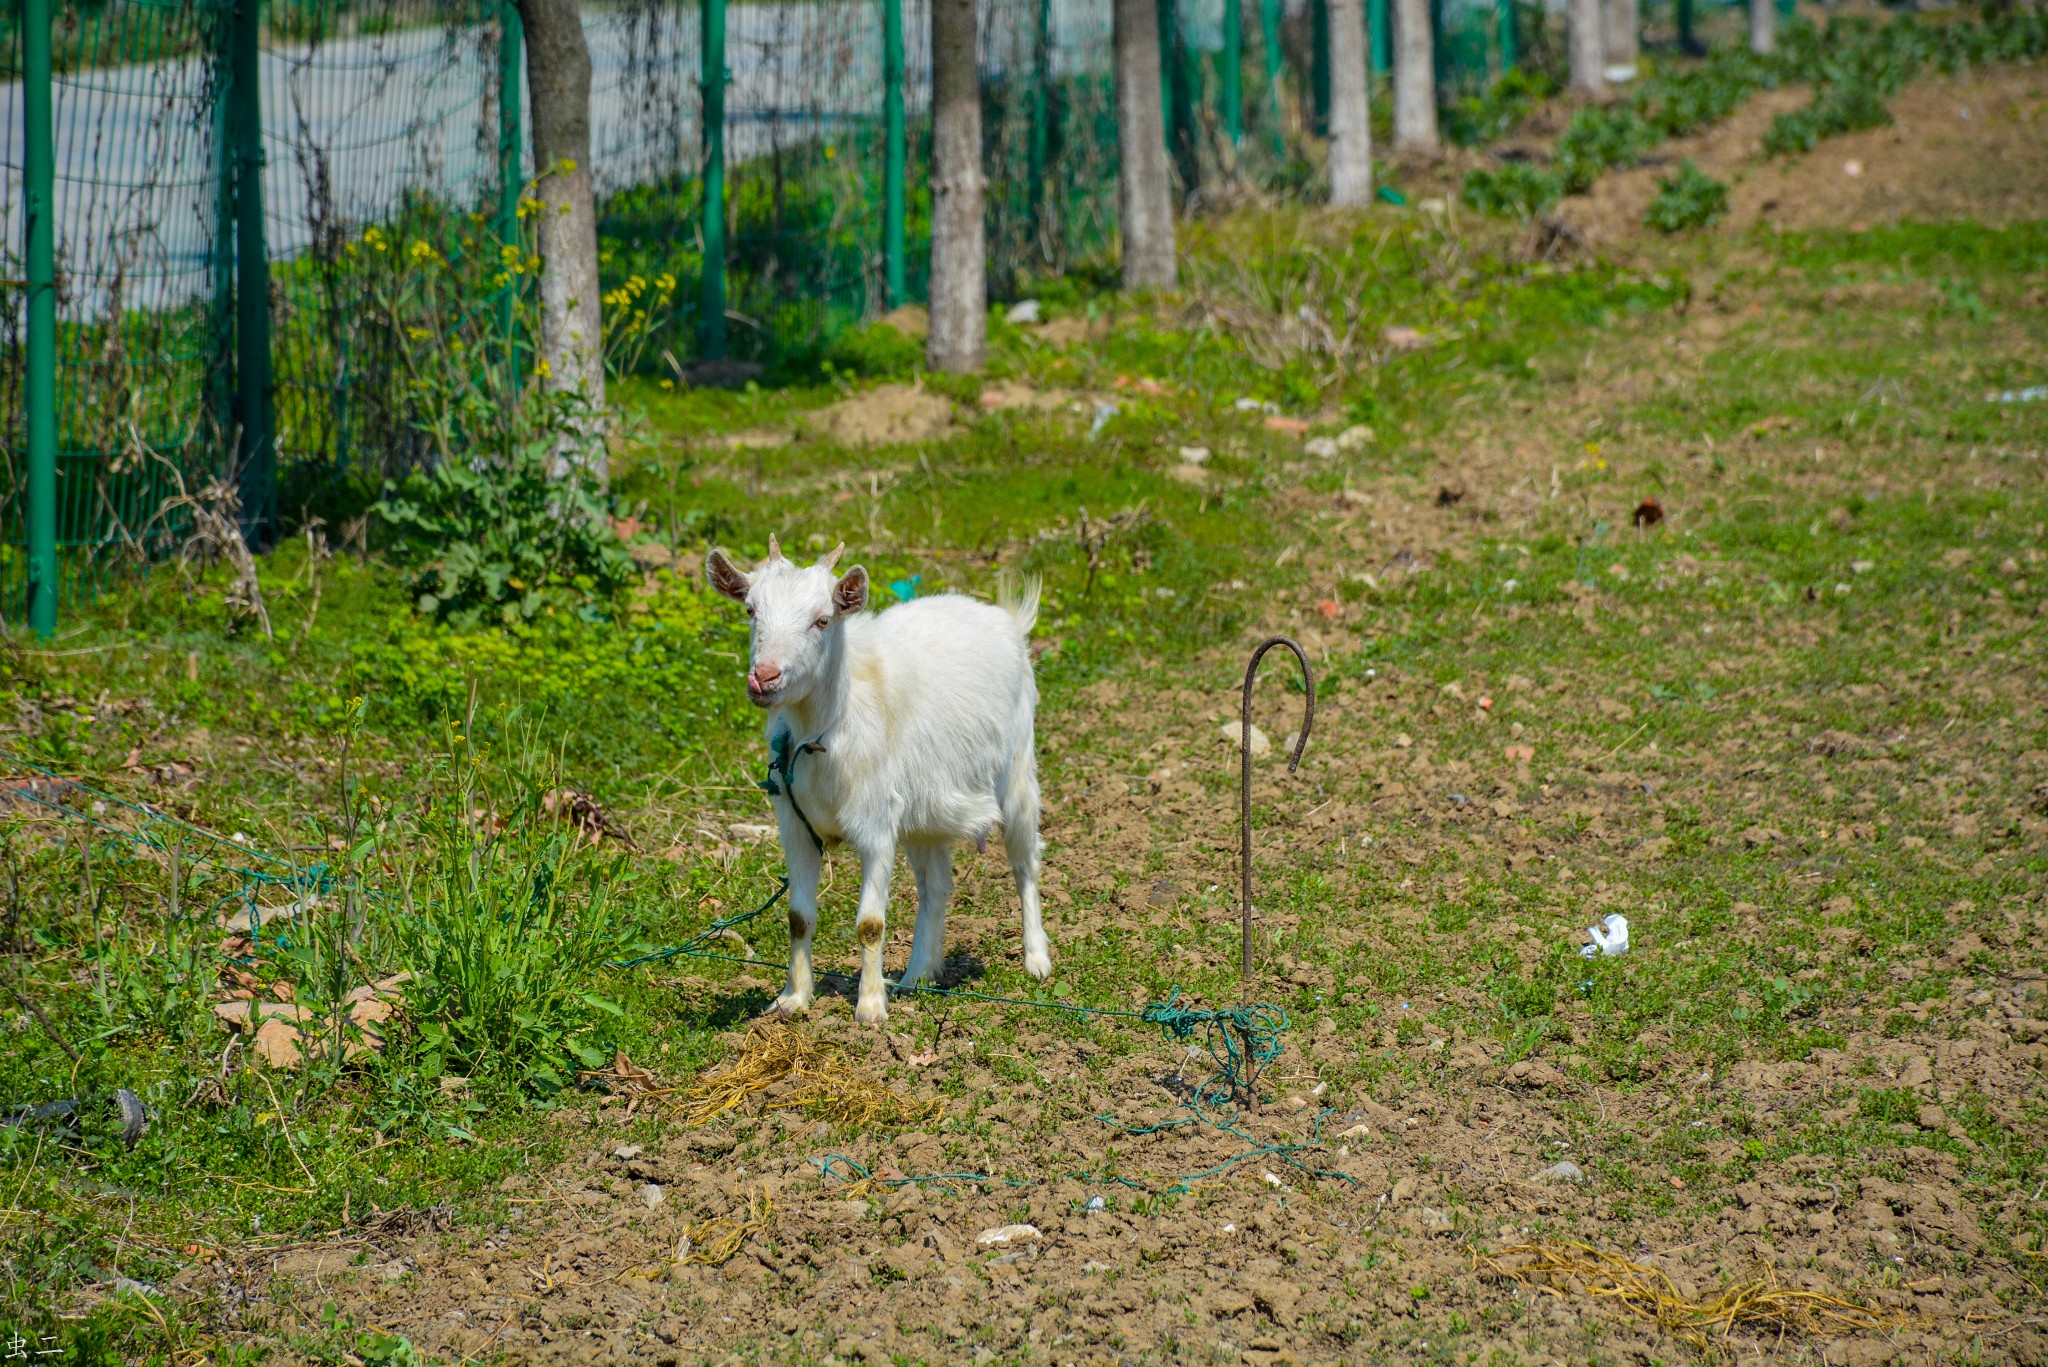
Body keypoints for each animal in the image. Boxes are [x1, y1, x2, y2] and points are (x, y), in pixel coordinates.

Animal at [704, 537, 1052, 1025]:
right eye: (751, 610)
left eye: (822, 619)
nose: (764, 678)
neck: (824, 729)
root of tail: (1005, 619)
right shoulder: (795, 826)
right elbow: (798, 917)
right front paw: (793, 999)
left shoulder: (875, 825)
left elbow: (870, 924)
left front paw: (869, 1009)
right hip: (926, 810)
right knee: (936, 886)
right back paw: (917, 975)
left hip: (1018, 769)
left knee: (1025, 861)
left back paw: (1036, 959)